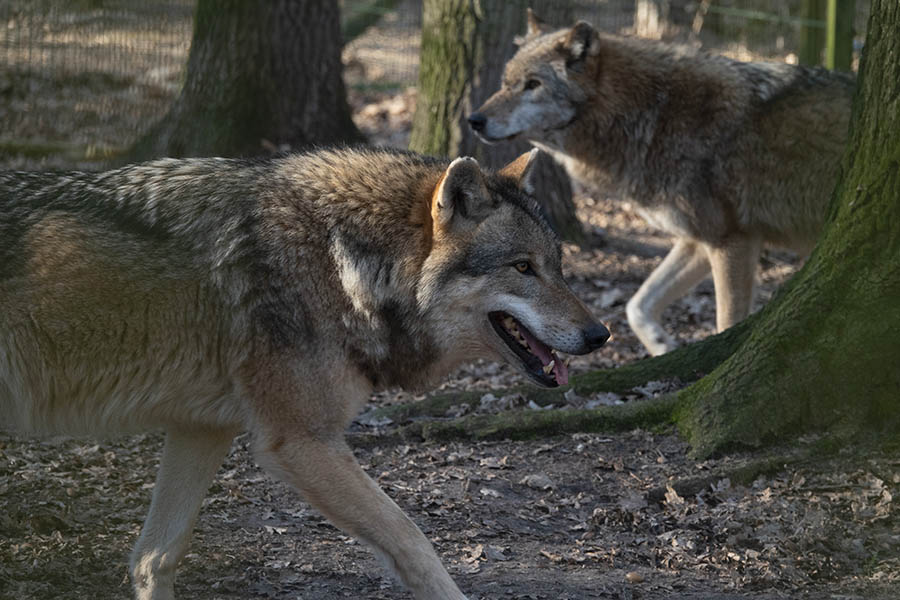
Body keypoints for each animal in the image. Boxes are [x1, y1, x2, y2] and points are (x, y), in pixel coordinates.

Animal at [0, 146, 612, 600]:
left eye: (558, 266)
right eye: (523, 268)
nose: (600, 335)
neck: (346, 262)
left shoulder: (202, 428)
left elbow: (156, 555)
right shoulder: (301, 442)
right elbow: (413, 540)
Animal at [468, 10, 856, 356]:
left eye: (533, 85)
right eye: (506, 83)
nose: (474, 119)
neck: (652, 114)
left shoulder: (732, 242)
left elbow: (726, 322)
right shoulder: (697, 240)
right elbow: (637, 305)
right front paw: (661, 345)